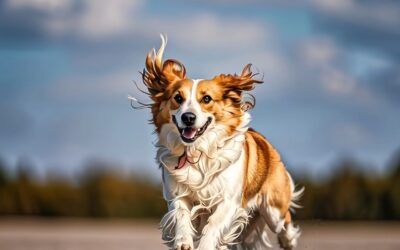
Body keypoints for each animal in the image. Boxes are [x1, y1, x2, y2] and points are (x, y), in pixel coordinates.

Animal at [138, 35, 304, 250]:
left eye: (207, 99)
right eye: (178, 98)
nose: (188, 117)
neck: (197, 152)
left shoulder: (229, 200)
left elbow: (214, 225)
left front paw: (205, 245)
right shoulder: (178, 194)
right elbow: (182, 215)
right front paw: (183, 241)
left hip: (273, 208)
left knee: (285, 222)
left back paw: (289, 241)